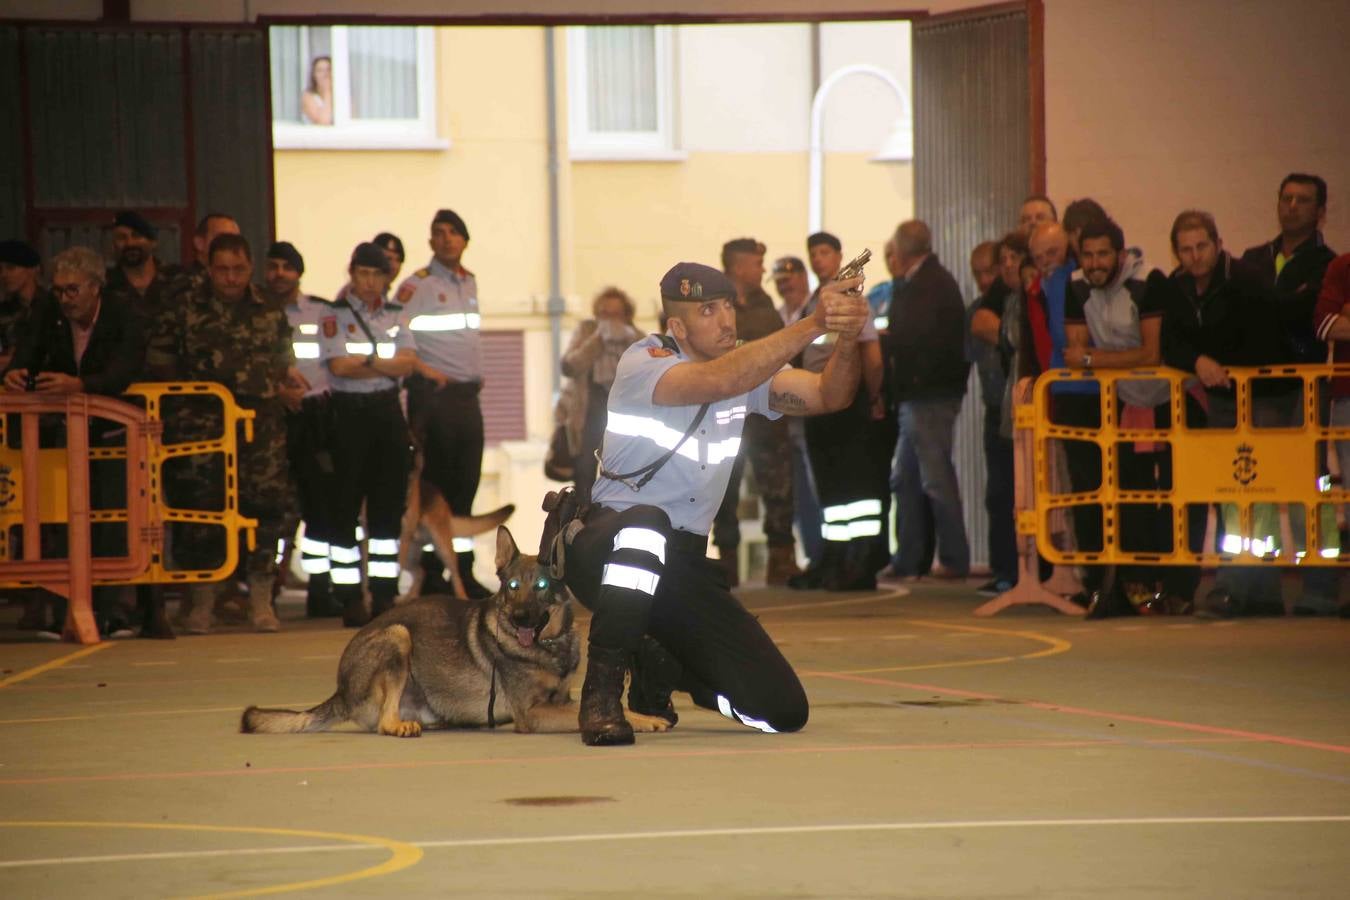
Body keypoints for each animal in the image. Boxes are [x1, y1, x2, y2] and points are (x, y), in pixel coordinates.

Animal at [244, 528, 675, 739]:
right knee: (384, 721)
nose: (520, 619)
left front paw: (644, 716)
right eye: (511, 587)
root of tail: (340, 692)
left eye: (539, 586)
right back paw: (401, 726)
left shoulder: (560, 697)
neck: (546, 647)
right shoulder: (534, 714)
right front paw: (641, 720)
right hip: (398, 635)